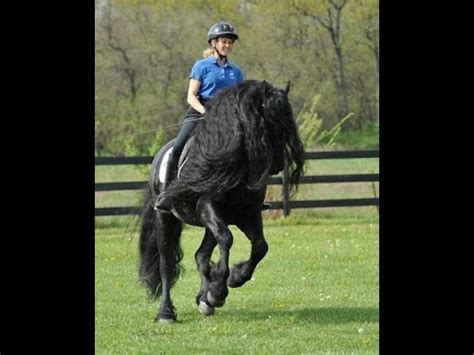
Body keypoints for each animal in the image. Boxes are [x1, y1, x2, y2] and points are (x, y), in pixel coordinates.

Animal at [139, 80, 306, 322]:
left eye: (287, 119)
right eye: (268, 117)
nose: (276, 164)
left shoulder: (247, 214)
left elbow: (260, 247)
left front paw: (233, 279)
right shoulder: (207, 207)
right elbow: (227, 239)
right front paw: (218, 290)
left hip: (210, 224)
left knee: (201, 255)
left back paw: (204, 299)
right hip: (165, 217)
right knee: (166, 263)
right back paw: (166, 313)